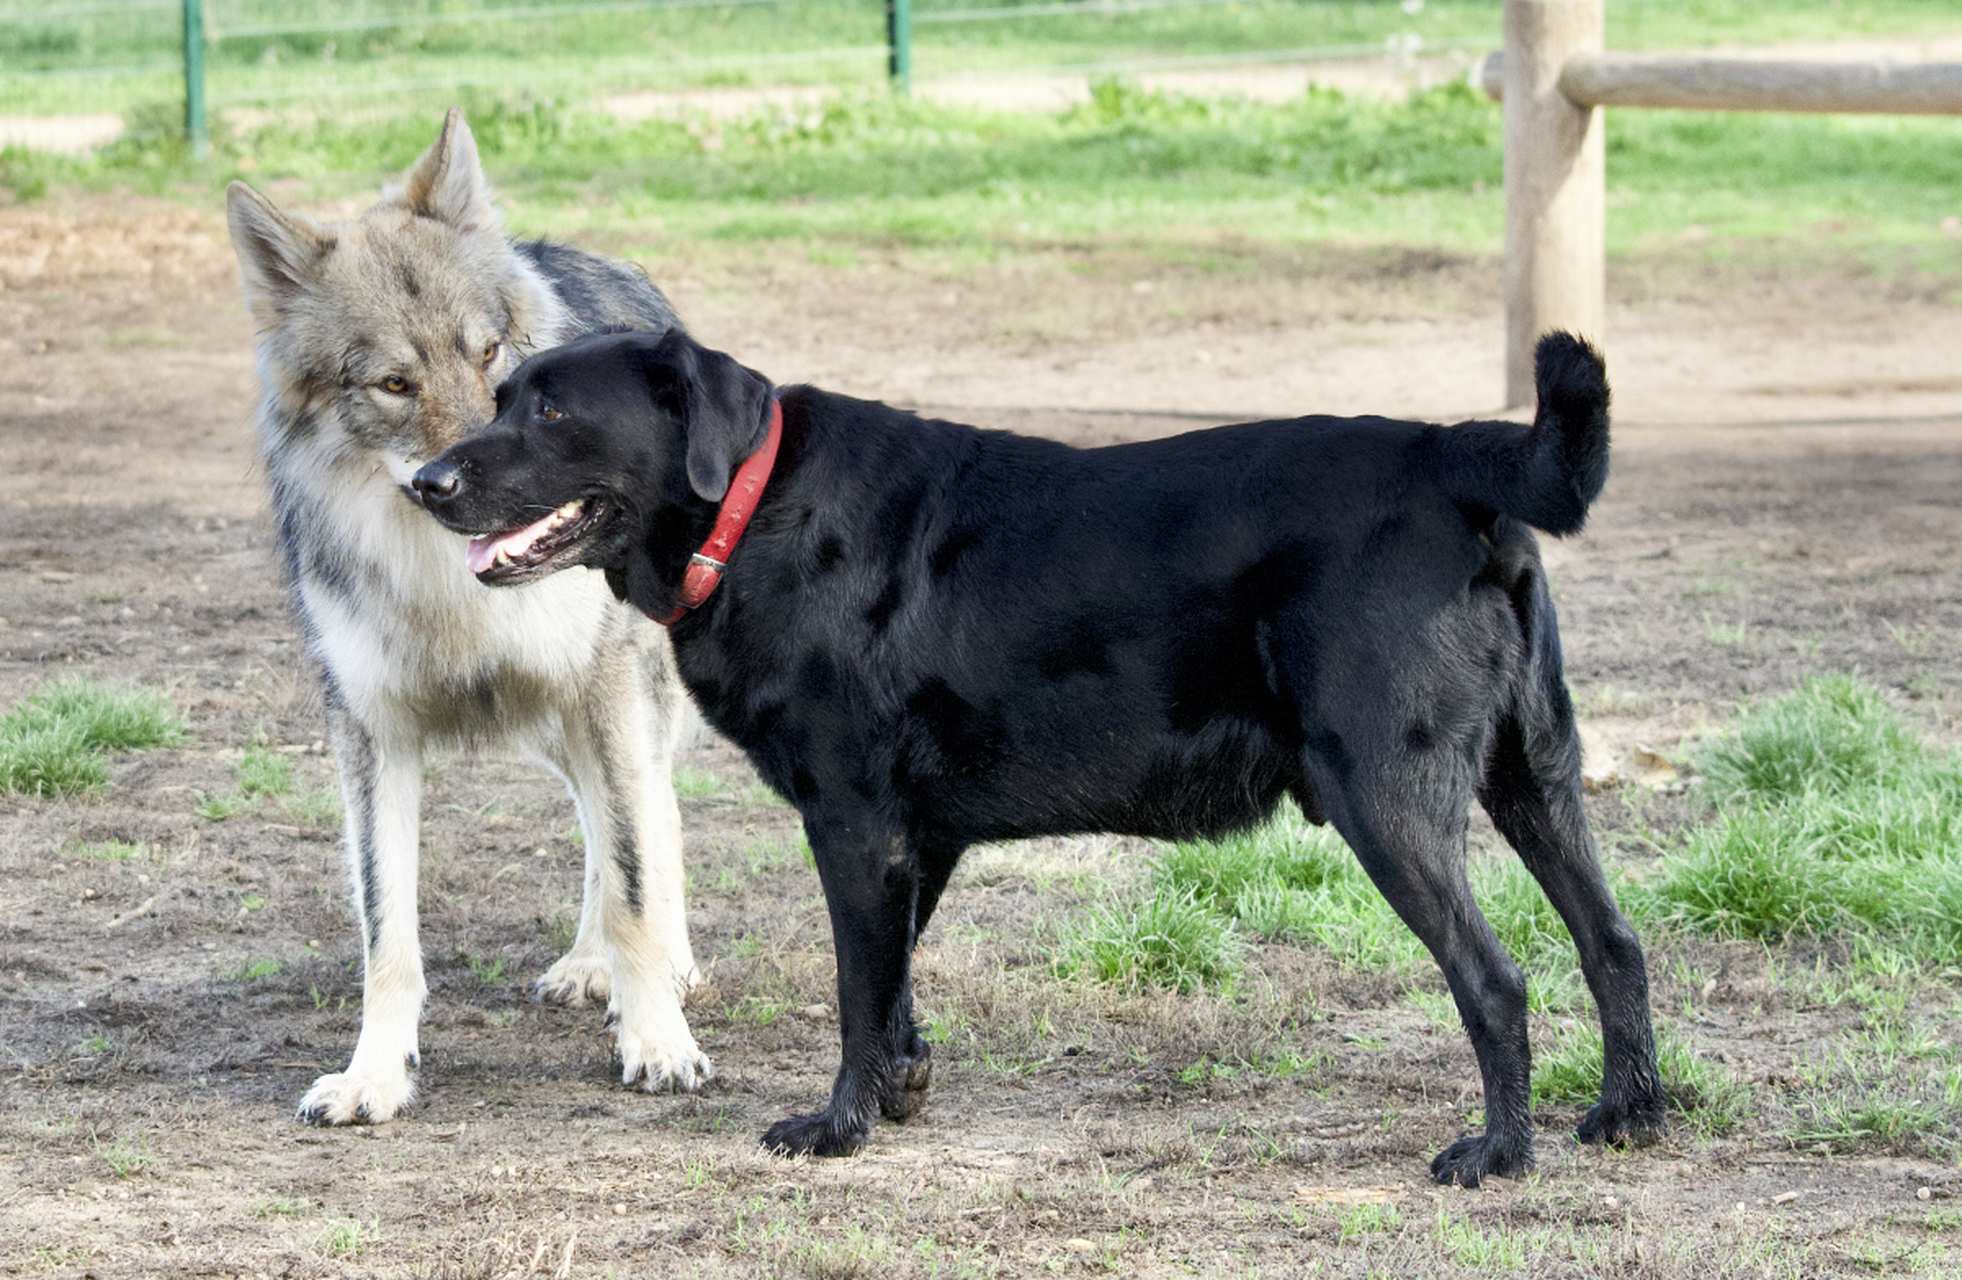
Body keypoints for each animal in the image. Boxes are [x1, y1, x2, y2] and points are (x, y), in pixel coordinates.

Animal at [227, 109, 714, 1122]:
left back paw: (658, 971)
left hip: (618, 702)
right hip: (562, 729)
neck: (456, 591)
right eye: (393, 384)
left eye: (491, 357)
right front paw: (374, 1075)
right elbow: (386, 930)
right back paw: (588, 966)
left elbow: (635, 878)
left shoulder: (605, 689)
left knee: (652, 817)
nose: (458, 484)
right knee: (601, 825)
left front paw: (658, 1039)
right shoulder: (370, 731)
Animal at [410, 325, 1655, 1185]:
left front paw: (840, 1125)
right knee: (1615, 941)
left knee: (1495, 977)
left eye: (554, 411)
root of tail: (1451, 456)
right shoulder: (919, 836)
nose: (426, 481)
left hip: (1385, 796)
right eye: (500, 394)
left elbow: (857, 987)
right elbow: (897, 976)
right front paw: (904, 1084)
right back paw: (1630, 1112)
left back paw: (1499, 1152)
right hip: (1535, 774)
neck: (756, 508)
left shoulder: (852, 818)